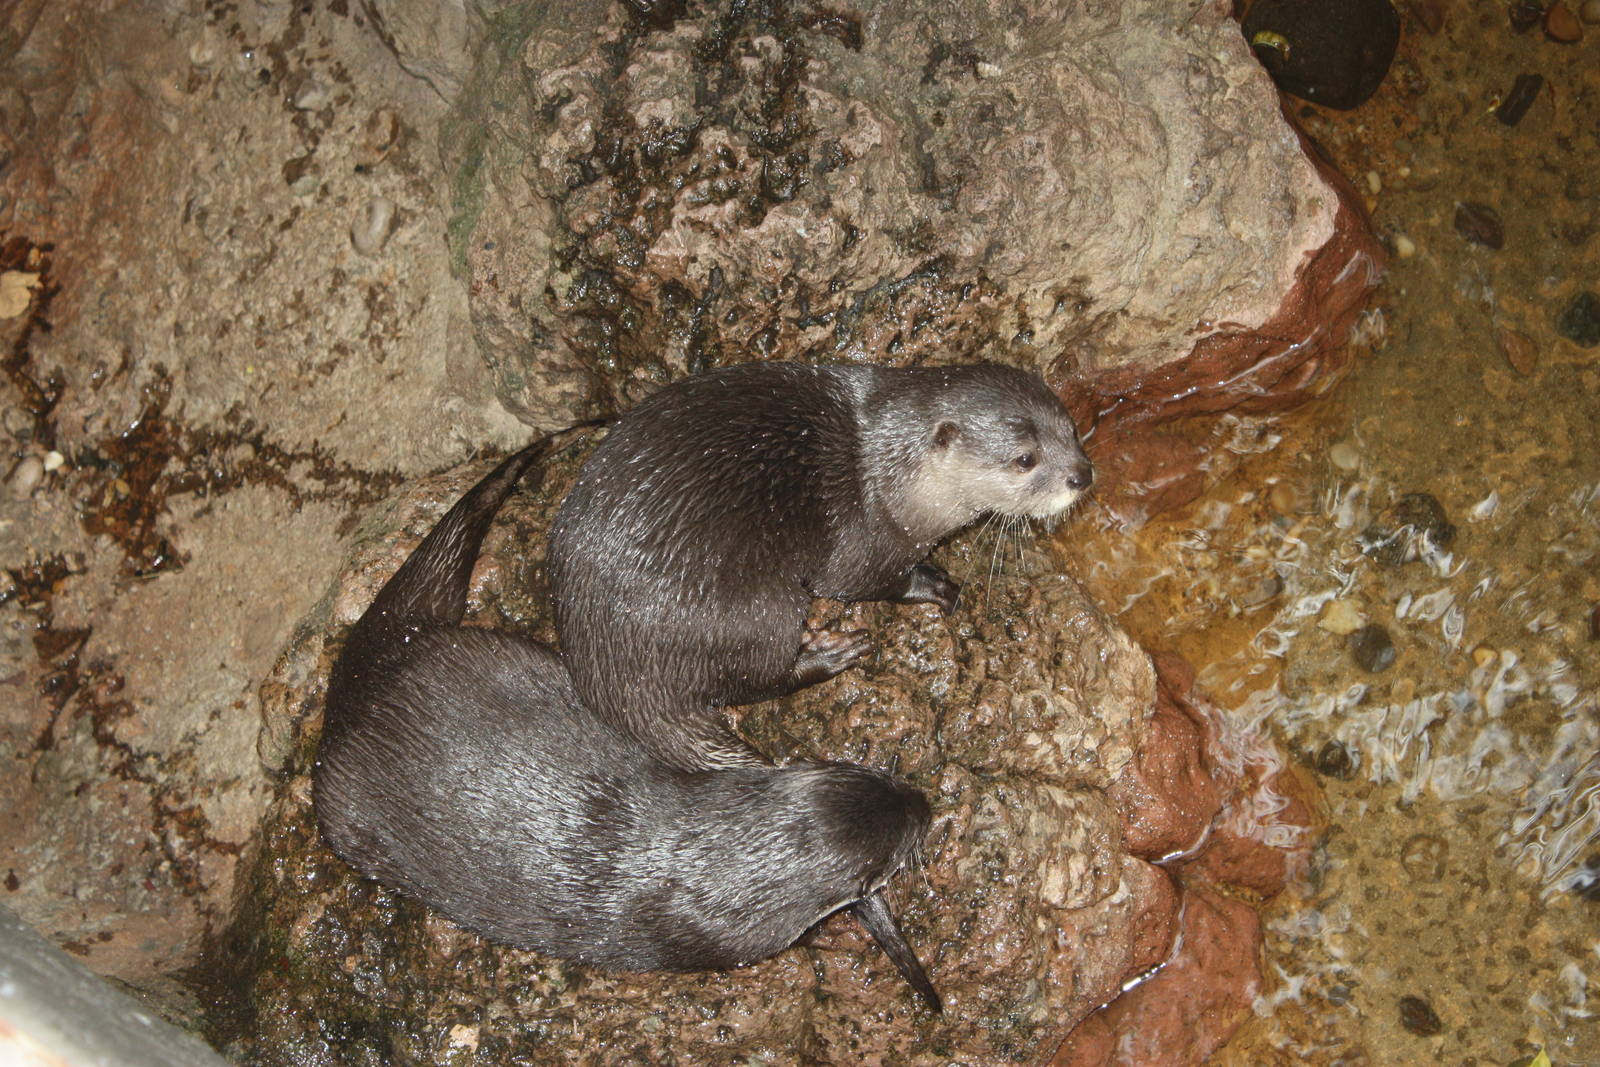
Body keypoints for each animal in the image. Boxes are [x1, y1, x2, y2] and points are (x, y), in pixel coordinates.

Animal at [314, 433, 942, 1011]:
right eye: (897, 846)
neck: (709, 856)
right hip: (347, 817)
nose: (925, 803)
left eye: (881, 780)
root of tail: (371, 677)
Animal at [548, 361, 1094, 768]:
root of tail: (613, 670)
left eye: (1070, 428)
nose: (1082, 475)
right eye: (1025, 459)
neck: (892, 478)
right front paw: (934, 585)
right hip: (753, 611)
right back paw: (830, 654)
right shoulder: (867, 537)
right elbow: (860, 582)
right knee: (758, 677)